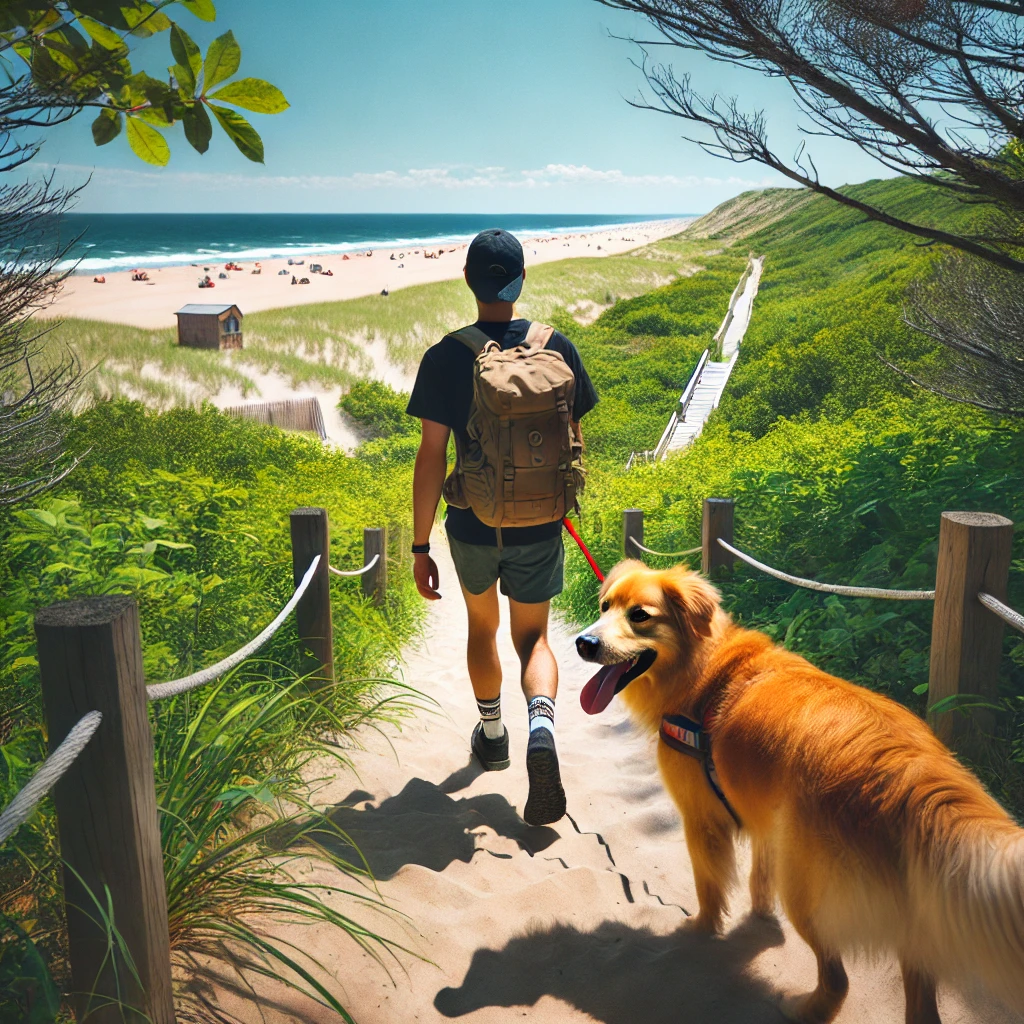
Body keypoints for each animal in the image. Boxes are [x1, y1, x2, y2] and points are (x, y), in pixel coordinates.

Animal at [577, 561, 1024, 1024]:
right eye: (605, 606)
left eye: (640, 615)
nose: (583, 643)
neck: (703, 669)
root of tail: (911, 773)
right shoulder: (764, 816)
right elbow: (758, 876)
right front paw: (759, 916)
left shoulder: (700, 821)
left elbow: (708, 885)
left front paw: (701, 929)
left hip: (807, 892)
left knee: (838, 979)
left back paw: (803, 1008)